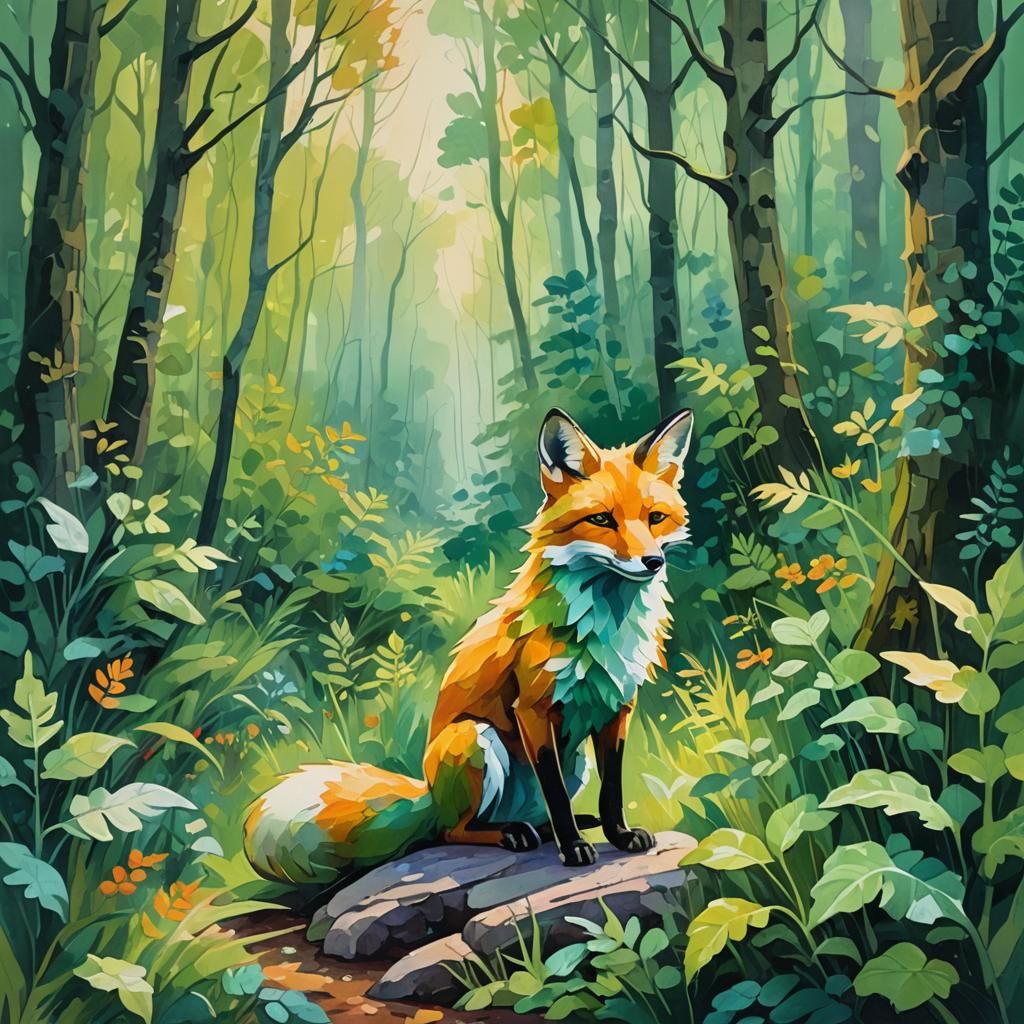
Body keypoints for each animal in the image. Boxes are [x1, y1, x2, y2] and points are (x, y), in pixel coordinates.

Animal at [244, 407, 694, 883]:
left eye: (655, 518)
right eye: (603, 520)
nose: (653, 562)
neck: (604, 623)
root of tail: (427, 795)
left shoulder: (617, 706)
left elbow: (612, 791)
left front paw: (617, 835)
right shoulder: (532, 709)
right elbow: (554, 794)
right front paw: (573, 848)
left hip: (576, 763)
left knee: (533, 817)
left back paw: (552, 827)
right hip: (474, 738)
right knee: (454, 830)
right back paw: (513, 834)